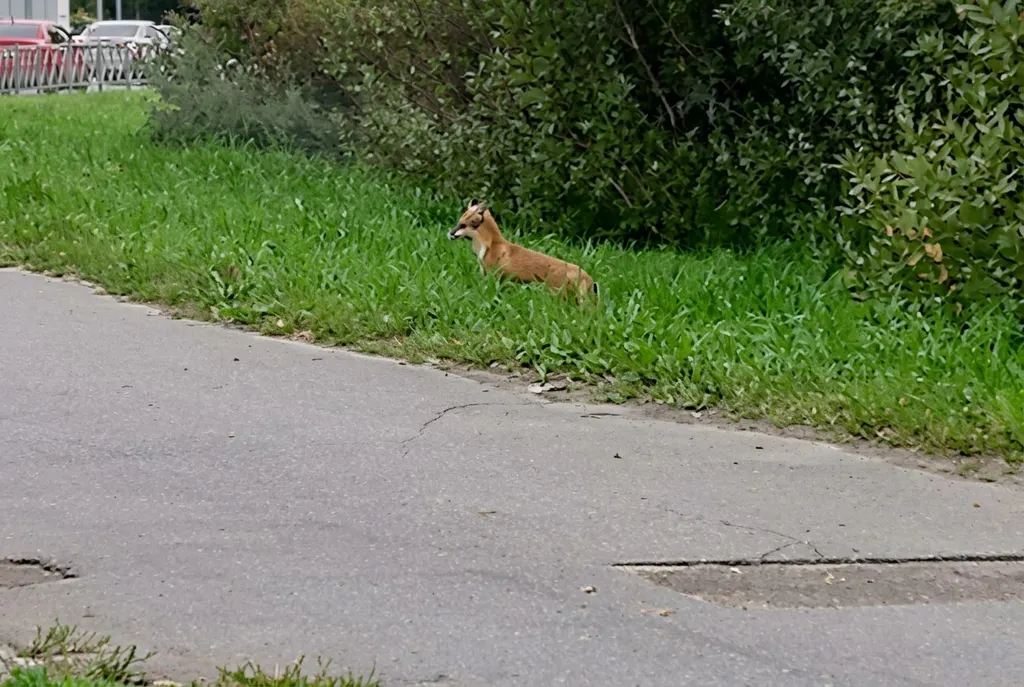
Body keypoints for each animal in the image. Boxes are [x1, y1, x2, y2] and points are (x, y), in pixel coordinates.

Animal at [447, 200, 599, 303]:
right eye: (458, 222)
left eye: (463, 225)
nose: (450, 234)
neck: (490, 246)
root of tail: (587, 276)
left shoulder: (493, 276)